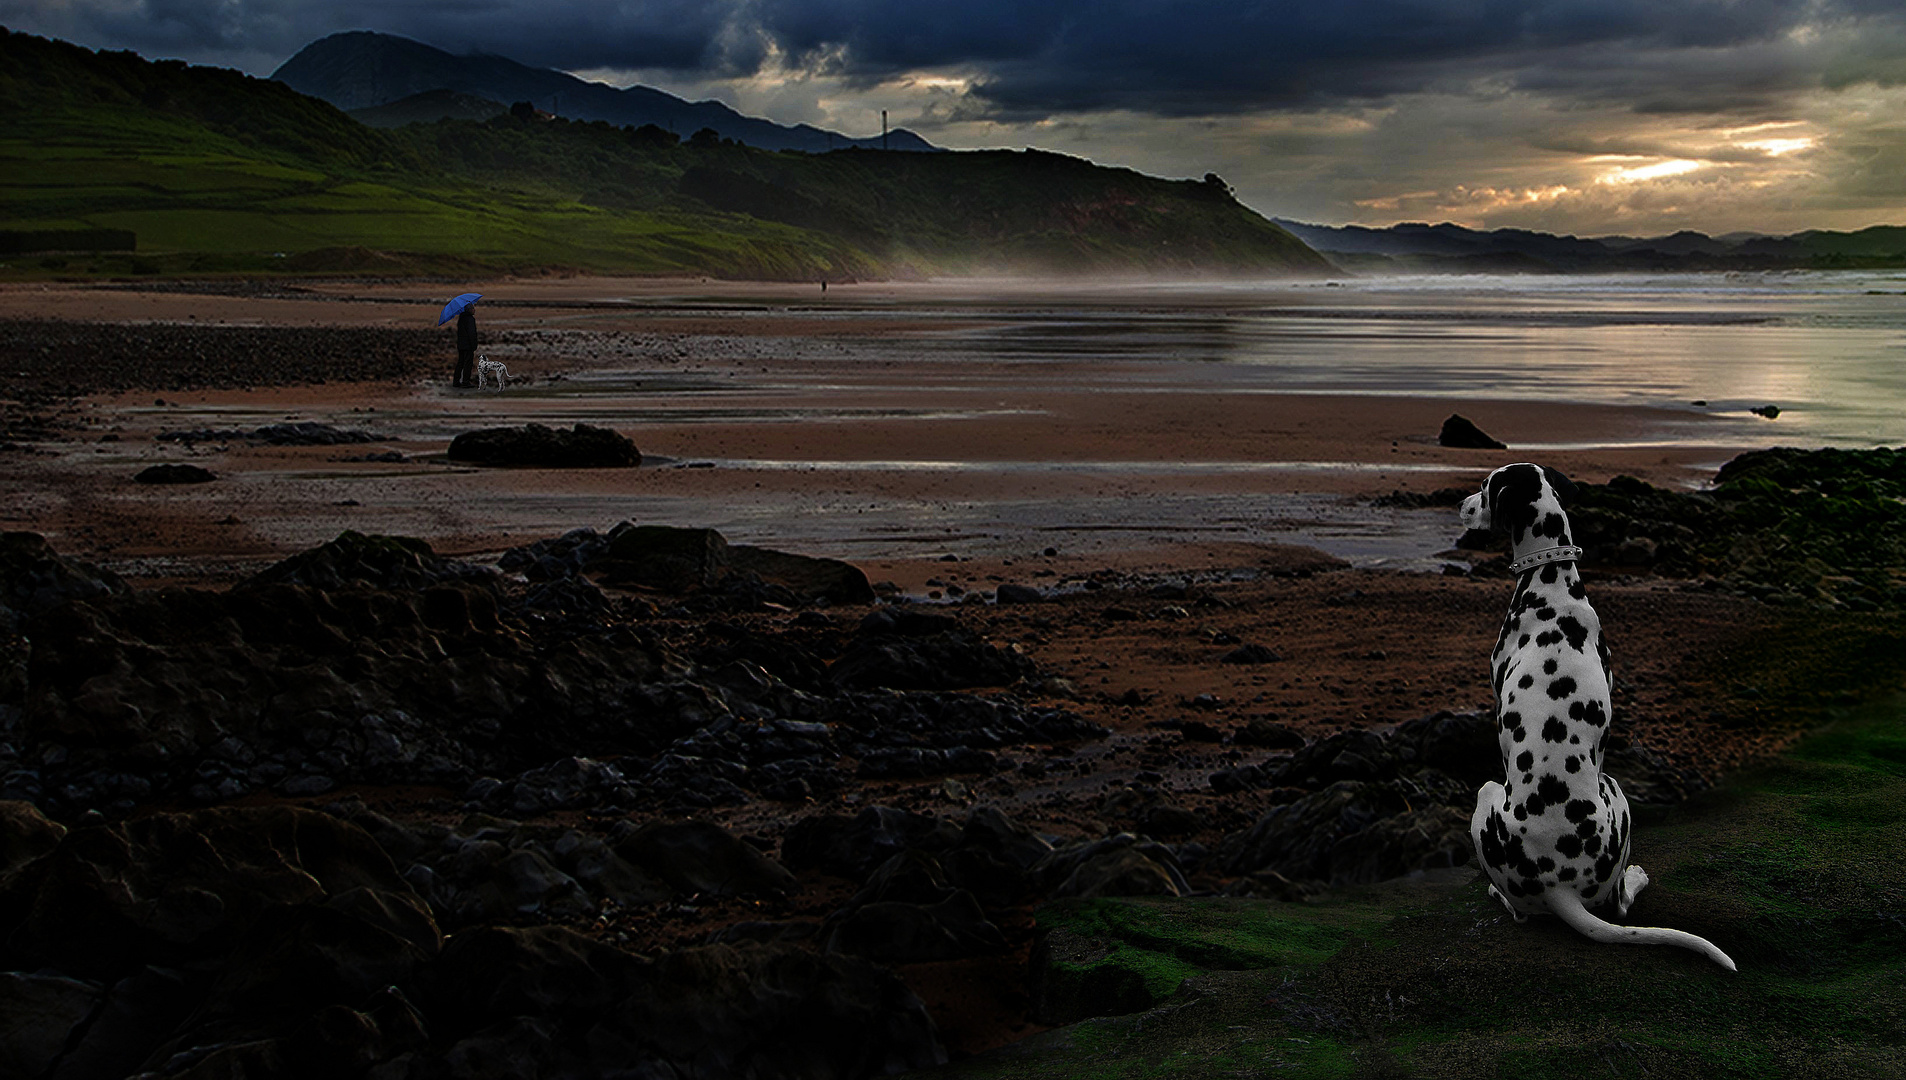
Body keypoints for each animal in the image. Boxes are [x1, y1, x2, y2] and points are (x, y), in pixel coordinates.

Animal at [1463, 462, 1738, 971]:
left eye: (1486, 487)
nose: (1462, 506)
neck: (1549, 580)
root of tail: (1559, 886)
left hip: (1497, 792)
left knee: (1560, 910)